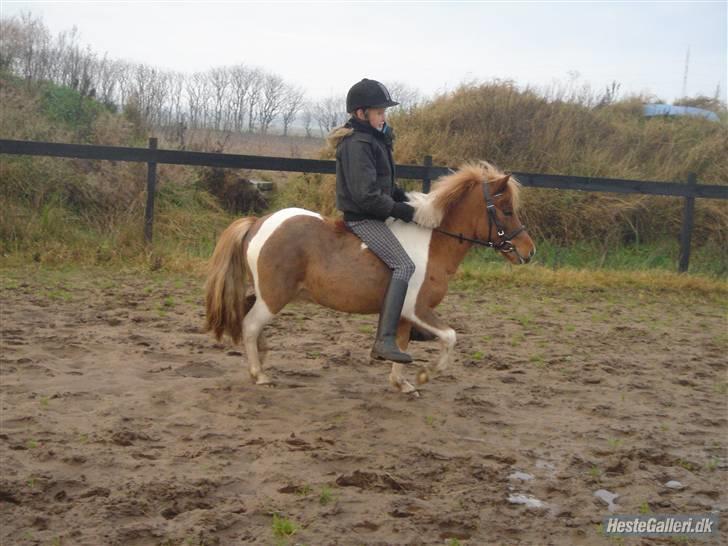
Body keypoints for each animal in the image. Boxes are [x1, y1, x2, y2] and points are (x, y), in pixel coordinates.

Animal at [205, 160, 536, 392]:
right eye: (506, 210)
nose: (529, 251)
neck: (433, 242)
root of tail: (257, 221)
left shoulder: (403, 315)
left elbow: (401, 346)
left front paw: (402, 383)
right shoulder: (417, 308)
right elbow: (450, 337)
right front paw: (424, 374)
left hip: (267, 294)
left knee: (246, 313)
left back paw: (262, 357)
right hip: (274, 297)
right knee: (249, 325)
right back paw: (260, 374)